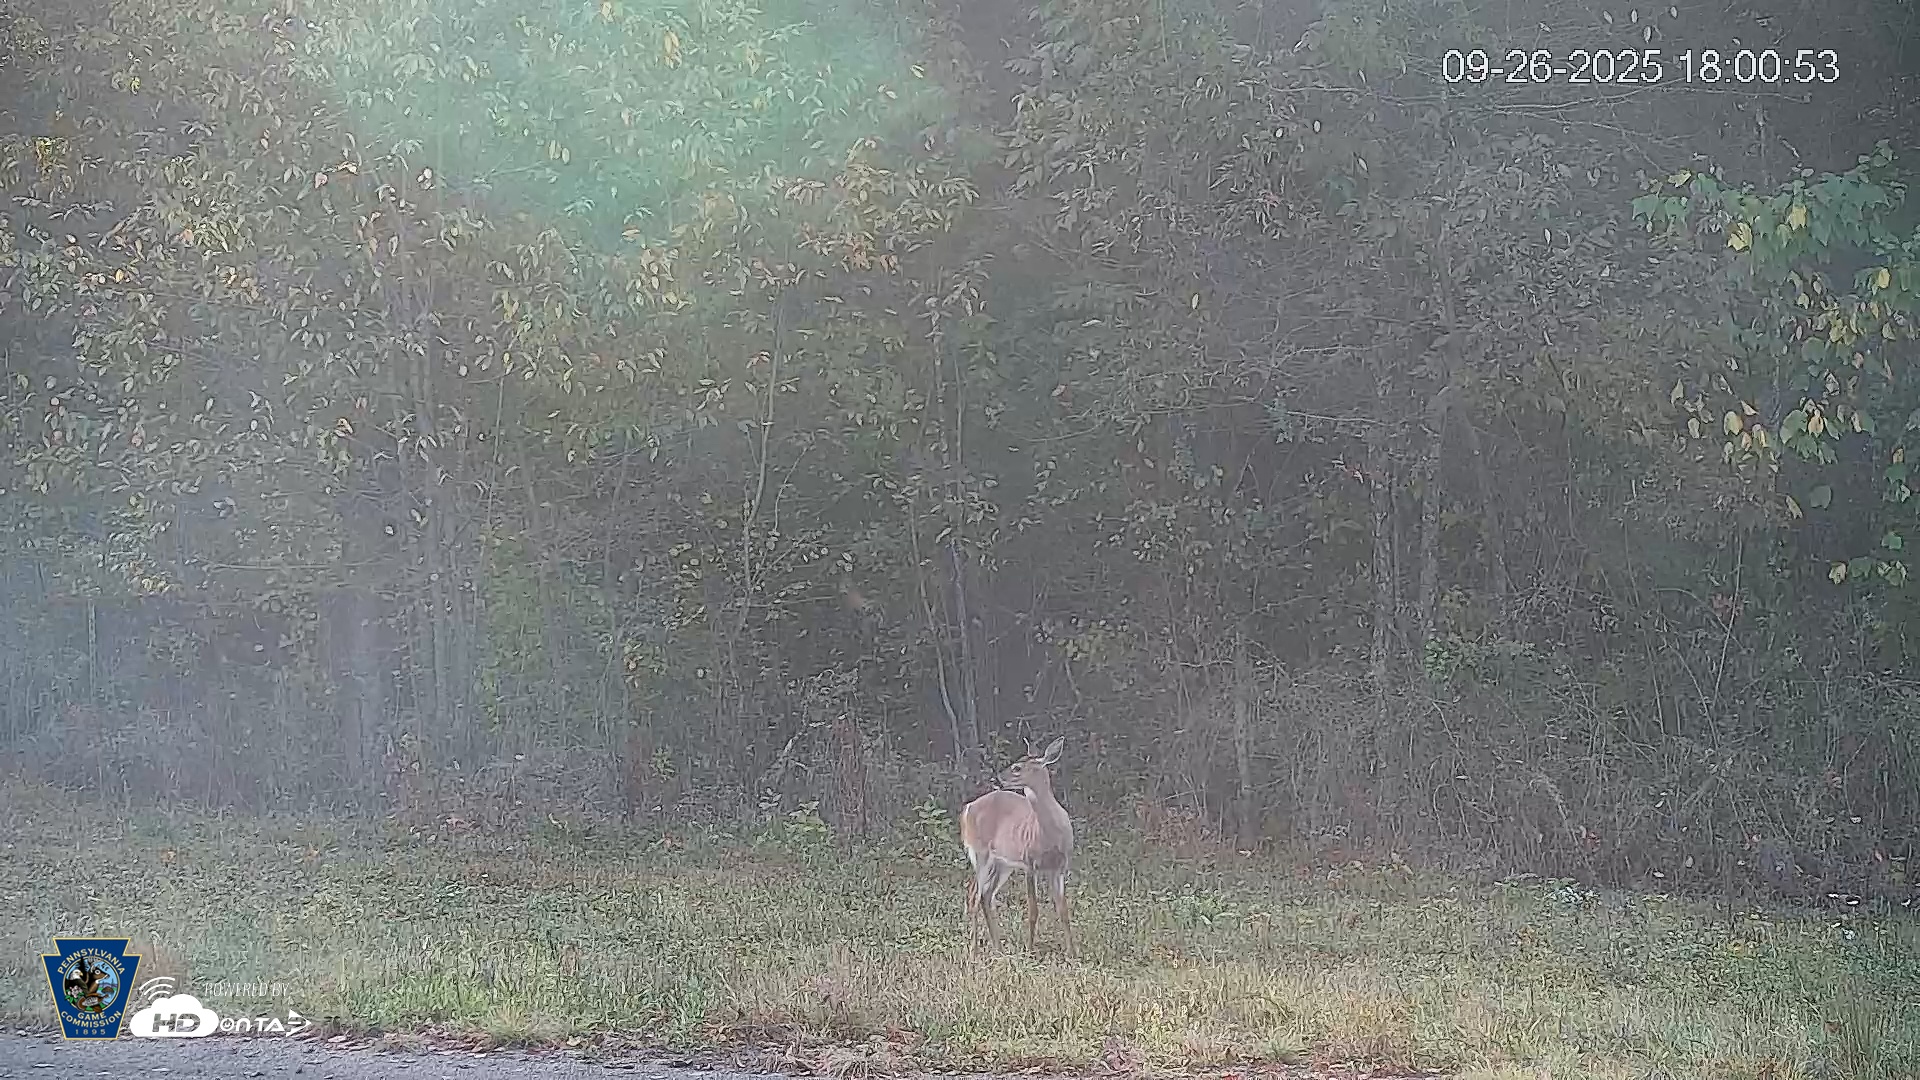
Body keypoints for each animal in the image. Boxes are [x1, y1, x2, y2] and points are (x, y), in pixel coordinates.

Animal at [959, 736, 1075, 956]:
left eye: (1017, 768)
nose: (998, 778)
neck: (1050, 834)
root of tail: (967, 808)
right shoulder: (1030, 863)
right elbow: (1033, 910)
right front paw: (1029, 950)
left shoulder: (1060, 867)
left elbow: (1063, 910)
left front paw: (1073, 953)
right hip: (980, 853)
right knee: (973, 895)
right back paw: (974, 950)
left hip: (1003, 864)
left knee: (986, 895)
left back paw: (997, 948)